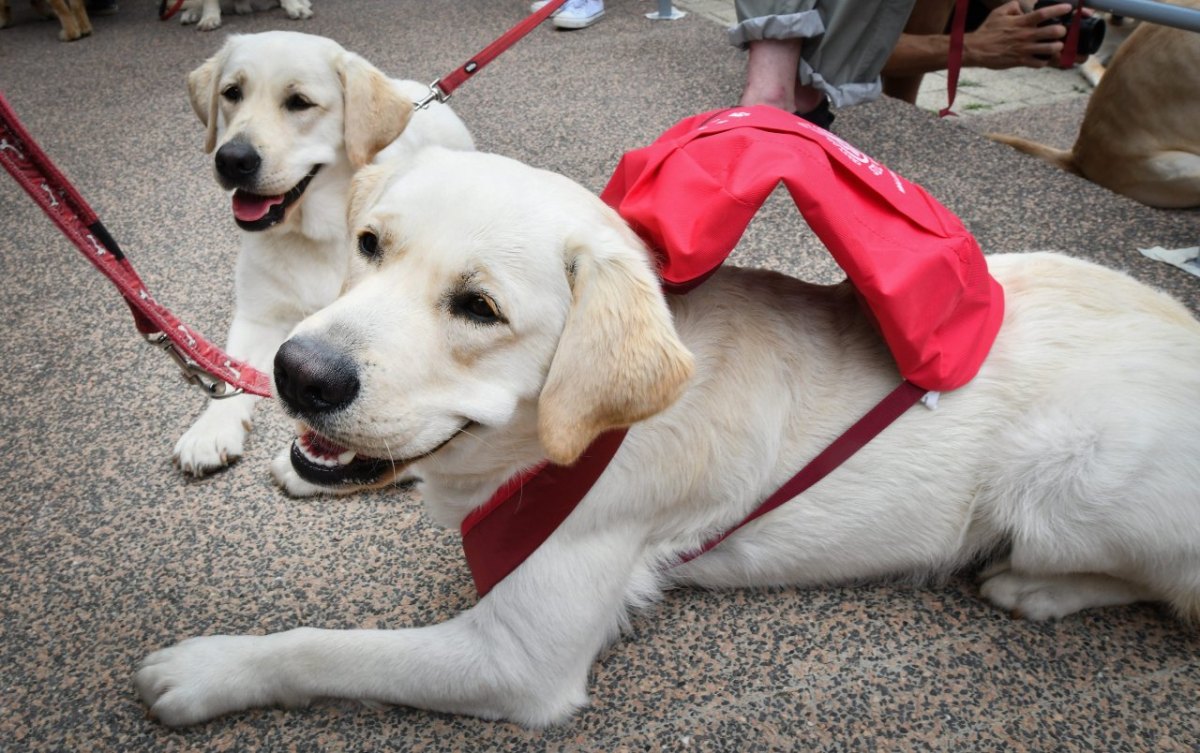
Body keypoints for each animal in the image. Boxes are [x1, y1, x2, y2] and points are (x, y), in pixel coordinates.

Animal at [138, 148, 1200, 729]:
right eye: (369, 247)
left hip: (1067, 485)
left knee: (1168, 587)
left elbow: (327, 646)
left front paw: (211, 668)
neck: (556, 447)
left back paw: (1037, 587)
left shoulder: (516, 657)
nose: (297, 373)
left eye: (479, 308)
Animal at [174, 32, 472, 477]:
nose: (231, 159)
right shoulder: (258, 315)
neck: (314, 235)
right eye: (232, 93)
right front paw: (210, 430)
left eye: (299, 102)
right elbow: (229, 370)